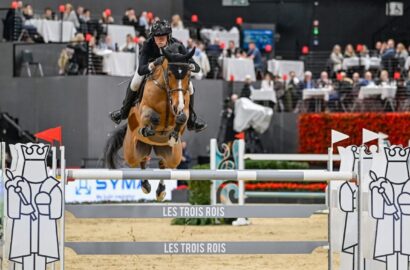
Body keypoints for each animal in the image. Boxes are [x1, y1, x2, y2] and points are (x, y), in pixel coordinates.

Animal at [103, 44, 195, 200]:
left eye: (188, 75)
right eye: (169, 74)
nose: (178, 106)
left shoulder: (184, 110)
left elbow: (182, 118)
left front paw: (173, 135)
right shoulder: (144, 110)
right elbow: (153, 117)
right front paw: (147, 129)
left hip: (174, 156)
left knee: (163, 164)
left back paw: (160, 191)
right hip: (132, 152)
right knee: (140, 162)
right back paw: (146, 186)